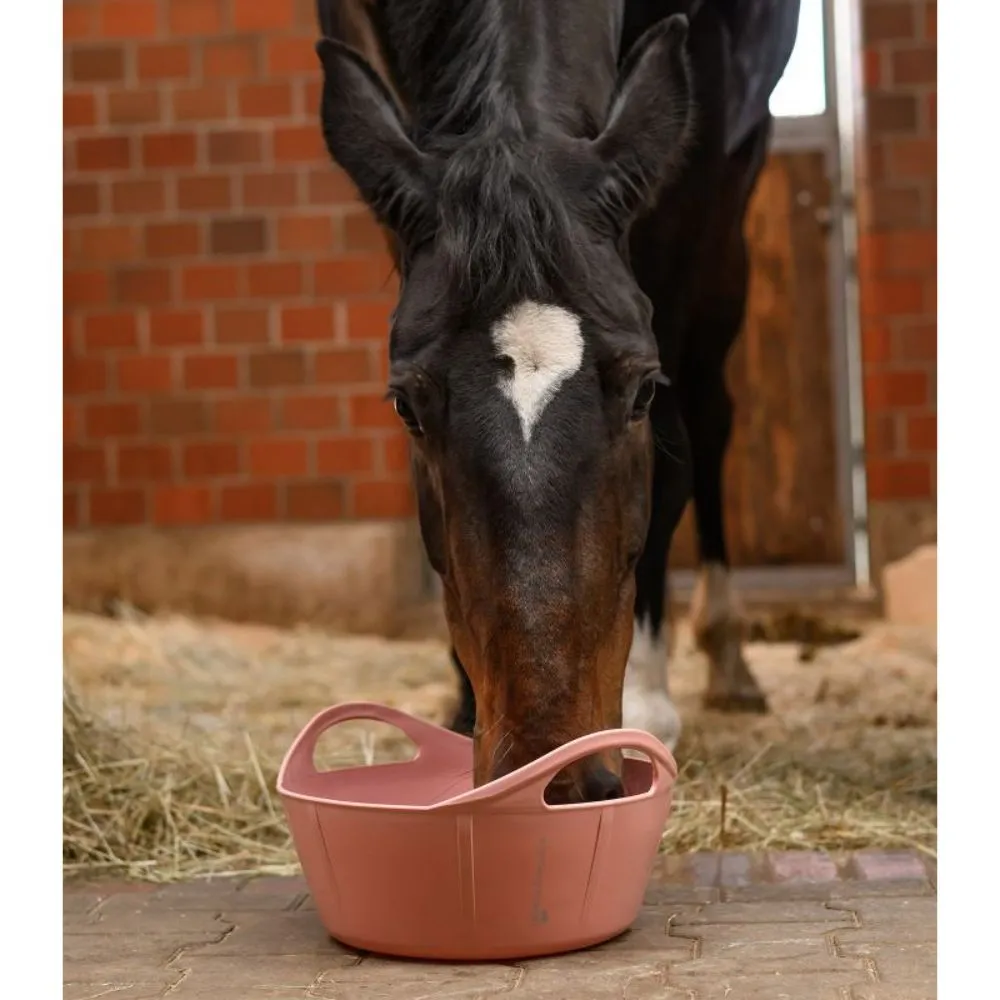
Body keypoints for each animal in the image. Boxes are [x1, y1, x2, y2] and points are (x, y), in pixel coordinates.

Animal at [314, 0, 801, 802]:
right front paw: (465, 705)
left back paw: (727, 659)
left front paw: (648, 706)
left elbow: (671, 462)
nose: (558, 772)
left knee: (712, 419)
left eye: (641, 389)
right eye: (405, 405)